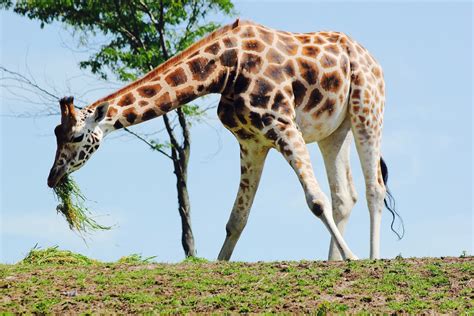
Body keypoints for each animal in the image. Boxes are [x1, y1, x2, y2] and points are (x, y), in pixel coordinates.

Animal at [48, 20, 398, 262]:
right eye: (55, 133)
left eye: (76, 136)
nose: (53, 178)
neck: (224, 70)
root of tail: (373, 59)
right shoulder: (251, 141)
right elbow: (236, 219)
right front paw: (219, 262)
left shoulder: (283, 125)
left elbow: (315, 201)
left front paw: (352, 257)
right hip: (334, 131)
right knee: (345, 196)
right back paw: (331, 261)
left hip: (367, 109)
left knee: (374, 188)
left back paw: (371, 257)